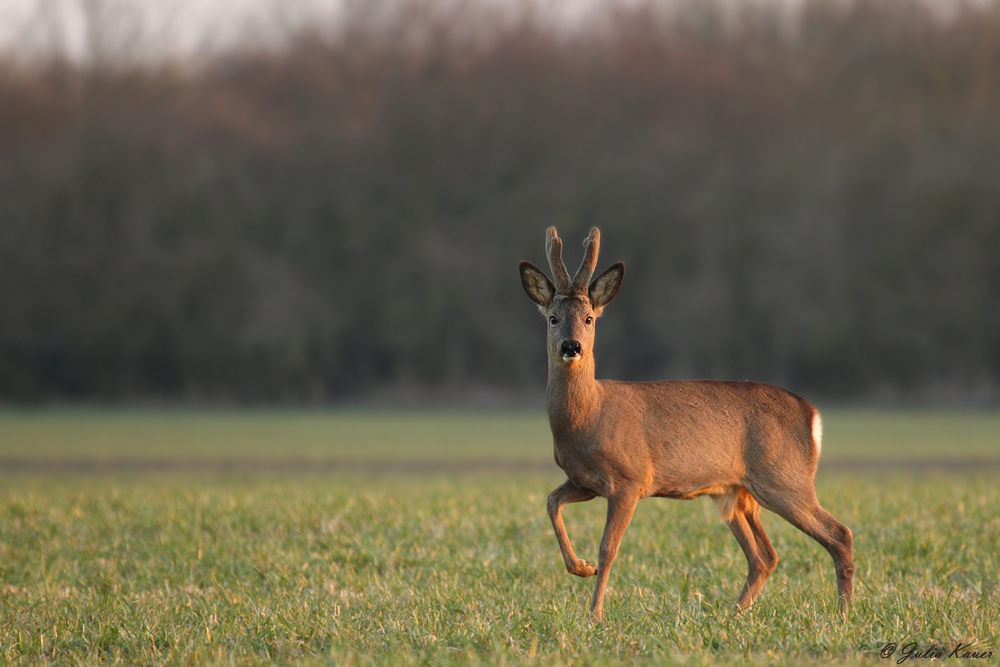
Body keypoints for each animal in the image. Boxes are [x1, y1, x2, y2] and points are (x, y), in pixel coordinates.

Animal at [520, 227, 856, 624]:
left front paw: (595, 613)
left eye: (589, 318)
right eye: (553, 318)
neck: (586, 419)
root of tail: (812, 415)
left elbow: (609, 548)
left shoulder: (630, 477)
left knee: (839, 534)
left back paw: (844, 613)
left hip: (784, 478)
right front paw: (581, 568)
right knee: (765, 556)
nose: (571, 347)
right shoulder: (584, 480)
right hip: (736, 493)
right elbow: (551, 502)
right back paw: (734, 613)